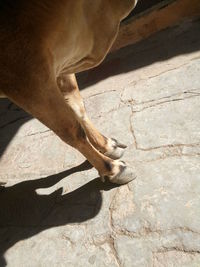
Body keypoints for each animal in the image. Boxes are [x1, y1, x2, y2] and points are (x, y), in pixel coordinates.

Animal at [0, 0, 138, 184]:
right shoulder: (24, 76)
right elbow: (71, 129)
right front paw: (112, 168)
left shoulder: (59, 67)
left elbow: (78, 109)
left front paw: (106, 145)